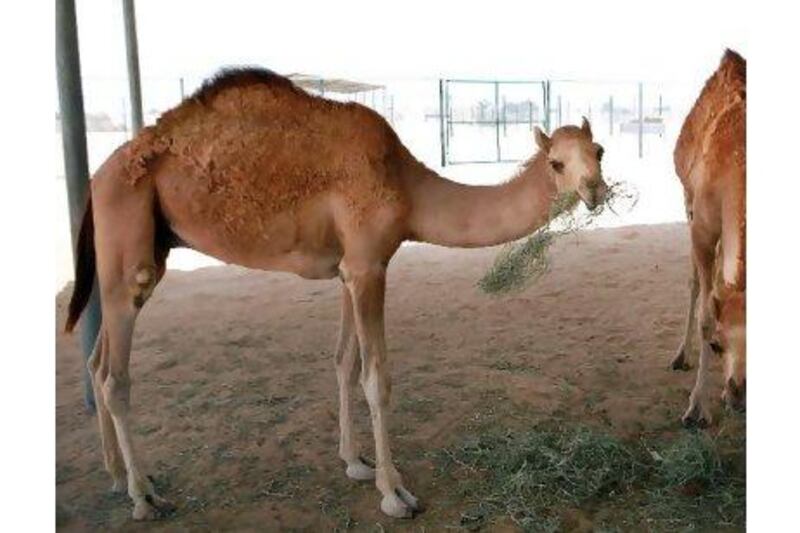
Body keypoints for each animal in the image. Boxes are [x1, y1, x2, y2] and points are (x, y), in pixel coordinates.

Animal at [67, 66, 608, 520]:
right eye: (556, 162)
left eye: (598, 152)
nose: (595, 191)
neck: (406, 187)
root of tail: (98, 178)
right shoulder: (367, 265)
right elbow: (376, 377)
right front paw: (395, 492)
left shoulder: (349, 268)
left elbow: (344, 362)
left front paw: (356, 462)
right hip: (128, 244)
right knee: (114, 377)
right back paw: (144, 497)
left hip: (141, 255)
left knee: (94, 361)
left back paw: (117, 476)